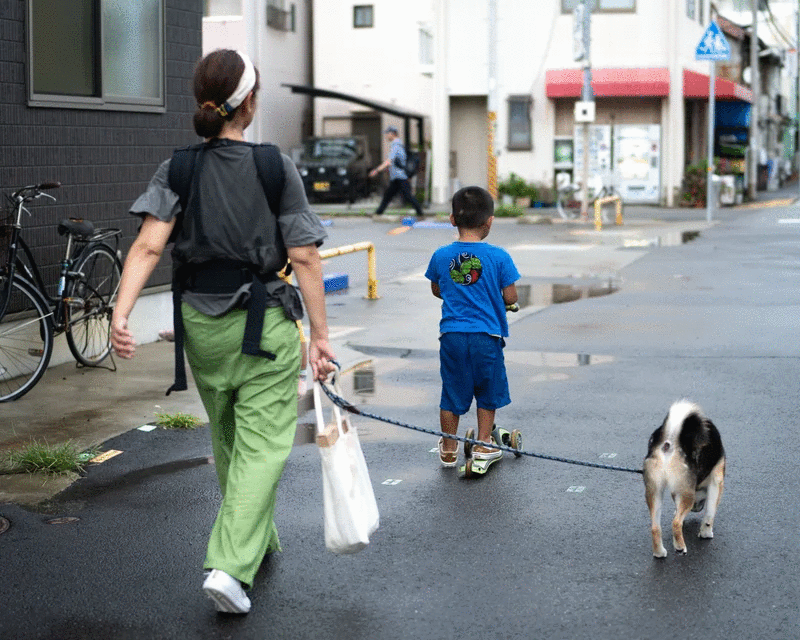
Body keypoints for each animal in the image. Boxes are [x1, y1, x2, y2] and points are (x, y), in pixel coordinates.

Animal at [644, 402, 724, 556]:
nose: (696, 509)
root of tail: (670, 440)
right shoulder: (717, 480)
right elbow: (710, 514)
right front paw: (706, 533)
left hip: (654, 491)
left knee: (655, 528)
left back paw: (659, 553)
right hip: (686, 493)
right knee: (675, 523)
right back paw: (680, 547)